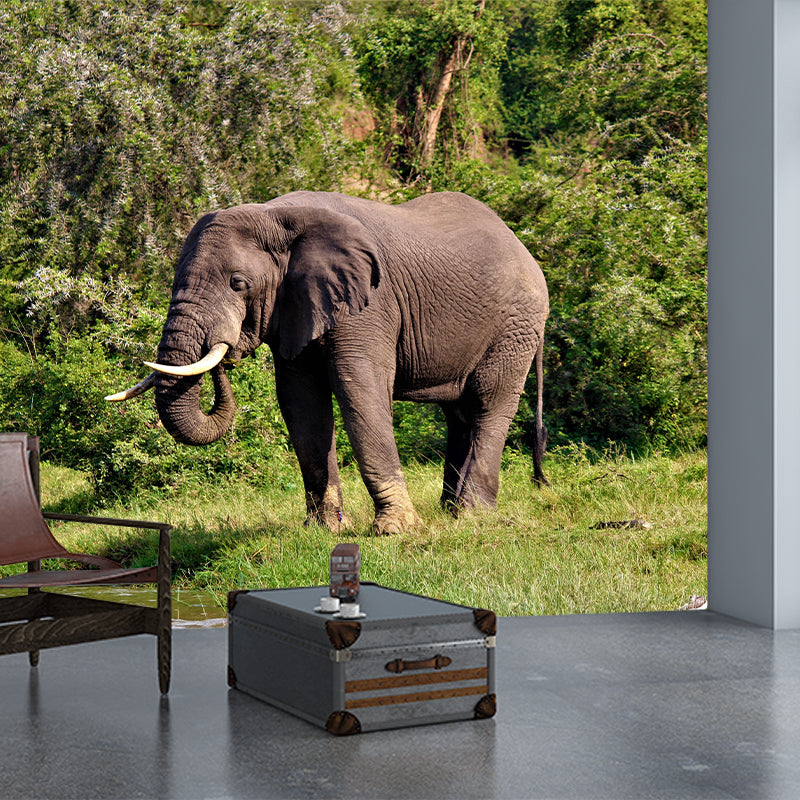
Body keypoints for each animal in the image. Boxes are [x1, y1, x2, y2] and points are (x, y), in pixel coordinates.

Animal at [107, 191, 549, 534]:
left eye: (238, 284)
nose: (224, 358)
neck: (276, 216)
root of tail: (523, 247)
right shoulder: (295, 306)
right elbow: (300, 403)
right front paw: (325, 529)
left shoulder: (370, 304)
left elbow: (360, 391)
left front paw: (395, 530)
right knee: (457, 414)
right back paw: (449, 512)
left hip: (517, 326)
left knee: (489, 404)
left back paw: (472, 516)